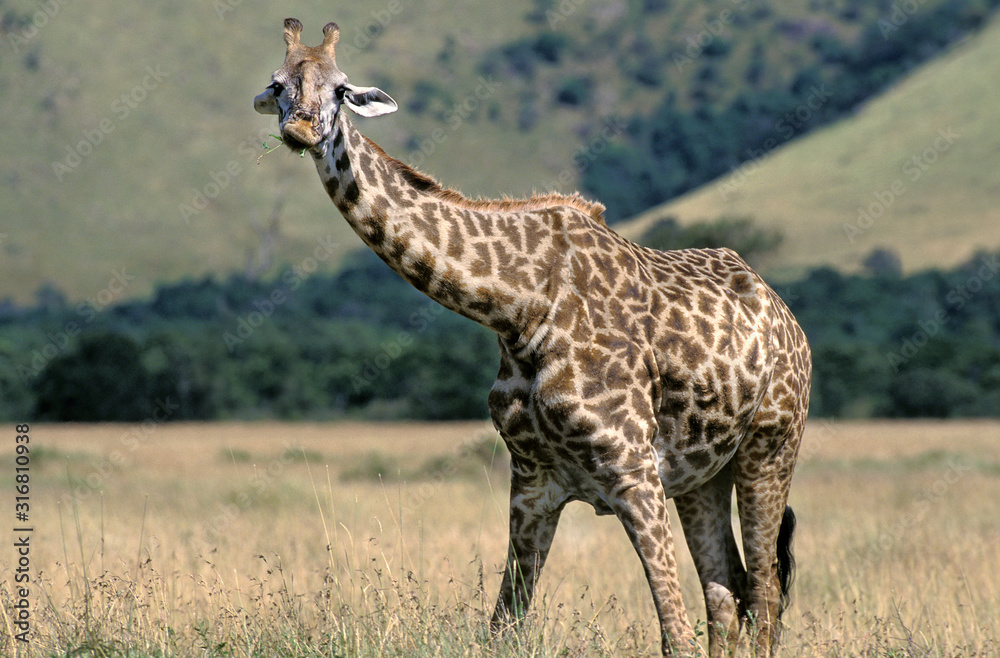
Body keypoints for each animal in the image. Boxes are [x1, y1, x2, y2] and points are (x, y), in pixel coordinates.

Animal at [254, 19, 811, 656]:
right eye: (278, 84)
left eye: (342, 88)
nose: (300, 129)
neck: (517, 310)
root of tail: (787, 317)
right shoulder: (532, 481)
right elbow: (503, 626)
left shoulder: (633, 470)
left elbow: (673, 632)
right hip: (702, 474)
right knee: (728, 593)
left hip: (770, 447)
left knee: (763, 593)